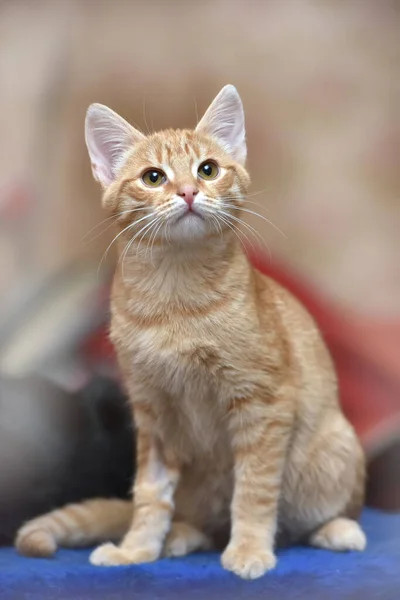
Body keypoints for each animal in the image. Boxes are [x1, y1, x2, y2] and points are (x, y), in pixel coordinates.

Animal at [15, 86, 366, 580]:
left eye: (208, 169)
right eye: (153, 177)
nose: (187, 191)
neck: (175, 302)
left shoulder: (264, 402)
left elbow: (255, 489)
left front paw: (250, 549)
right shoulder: (153, 413)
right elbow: (149, 494)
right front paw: (136, 550)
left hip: (336, 452)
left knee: (313, 517)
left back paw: (335, 530)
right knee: (200, 520)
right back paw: (182, 536)